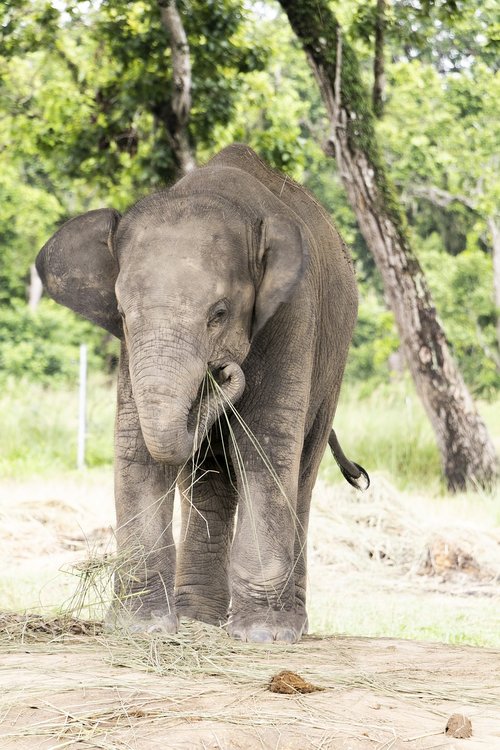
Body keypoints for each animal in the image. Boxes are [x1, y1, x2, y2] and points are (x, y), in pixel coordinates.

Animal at [36, 144, 368, 644]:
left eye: (219, 314)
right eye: (121, 313)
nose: (224, 371)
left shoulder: (293, 314)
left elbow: (265, 443)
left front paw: (263, 636)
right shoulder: (131, 350)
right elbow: (137, 446)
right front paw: (141, 628)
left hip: (334, 362)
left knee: (302, 469)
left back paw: (291, 624)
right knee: (208, 474)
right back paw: (198, 620)